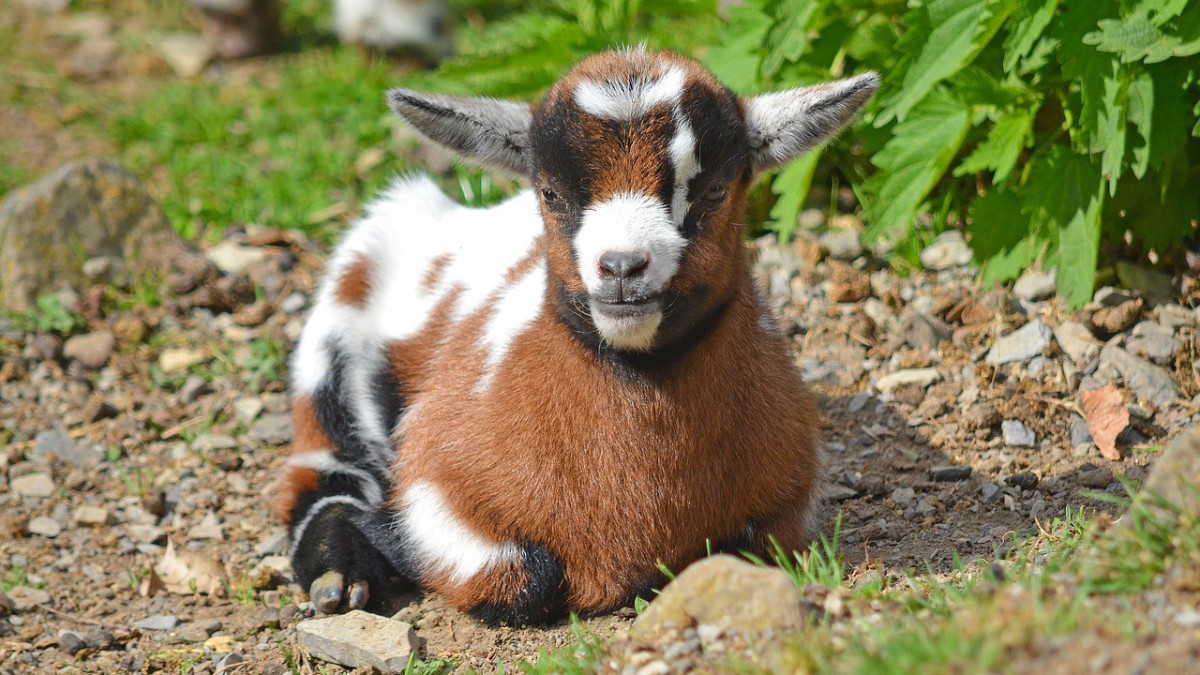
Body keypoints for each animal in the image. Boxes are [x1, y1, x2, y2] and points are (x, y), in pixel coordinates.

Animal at [274, 48, 873, 624]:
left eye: (714, 192)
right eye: (552, 194)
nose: (623, 267)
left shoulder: (786, 509)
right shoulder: (434, 487)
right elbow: (526, 579)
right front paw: (384, 539)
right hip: (341, 319)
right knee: (322, 468)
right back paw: (338, 572)